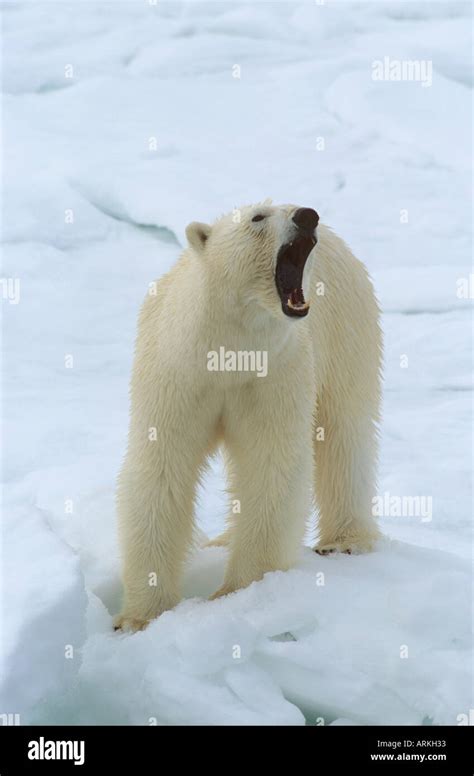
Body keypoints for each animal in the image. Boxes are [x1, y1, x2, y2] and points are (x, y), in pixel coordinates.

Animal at [114, 205, 382, 632]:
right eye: (258, 217)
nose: (307, 215)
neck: (230, 351)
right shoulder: (178, 375)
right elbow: (162, 468)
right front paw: (139, 617)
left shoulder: (274, 374)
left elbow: (270, 465)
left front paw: (239, 590)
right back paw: (221, 540)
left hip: (348, 327)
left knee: (345, 428)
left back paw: (344, 541)